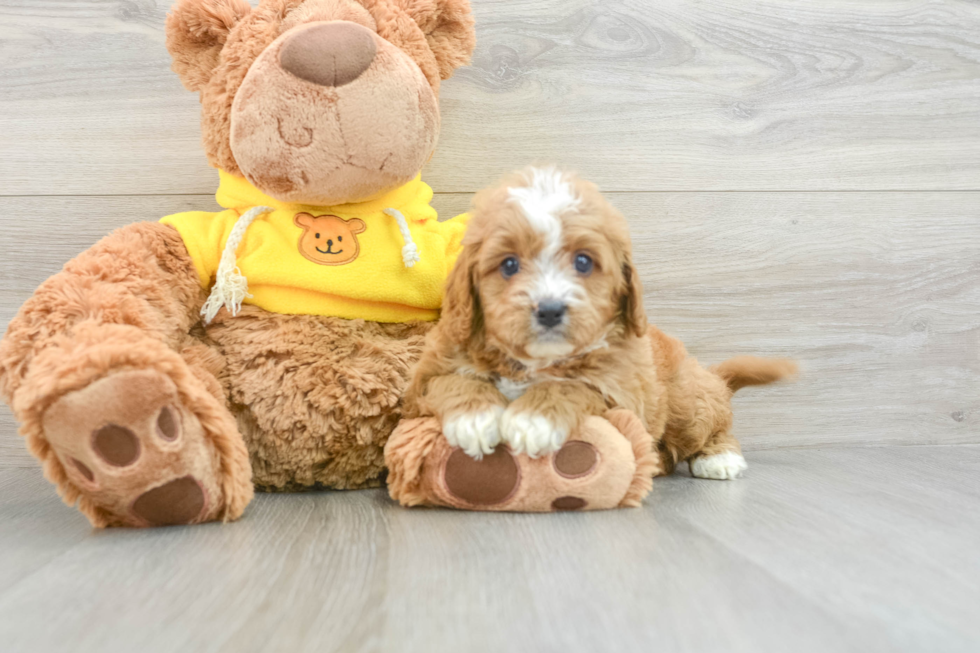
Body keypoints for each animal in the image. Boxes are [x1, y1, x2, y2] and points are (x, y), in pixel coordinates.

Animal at [406, 166, 796, 476]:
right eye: (509, 264)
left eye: (583, 261)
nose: (550, 309)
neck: (535, 362)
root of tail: (707, 374)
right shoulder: (425, 377)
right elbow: (449, 381)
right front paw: (474, 419)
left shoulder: (622, 392)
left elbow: (574, 386)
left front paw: (534, 419)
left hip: (686, 402)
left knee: (714, 422)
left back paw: (719, 458)